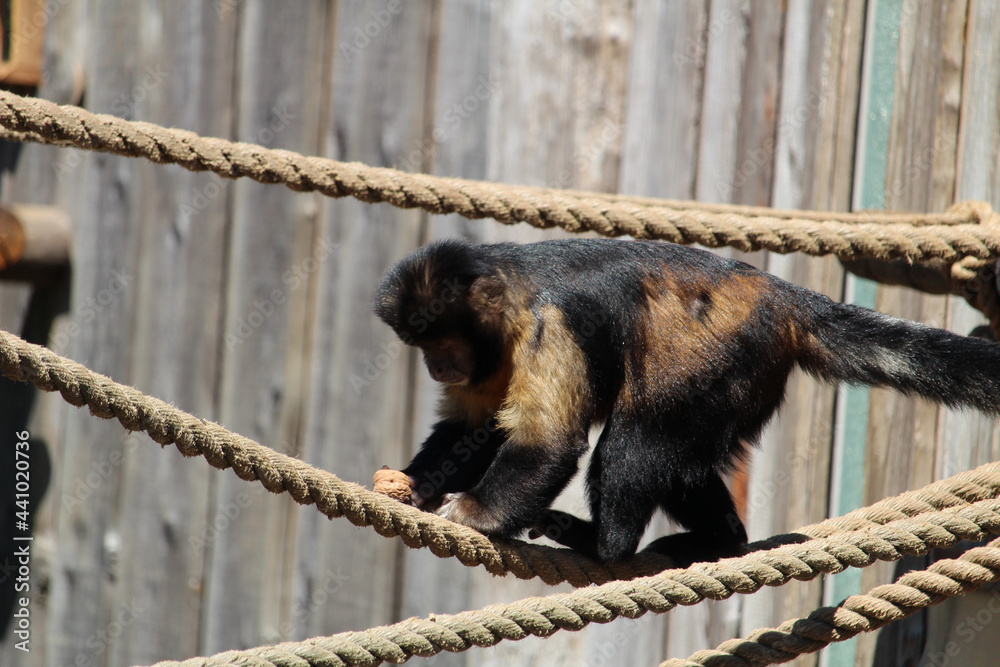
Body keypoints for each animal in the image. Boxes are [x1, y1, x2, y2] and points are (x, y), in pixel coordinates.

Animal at [374, 239, 1000, 564]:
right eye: (422, 345)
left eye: (440, 342)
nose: (435, 365)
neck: (512, 297)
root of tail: (783, 297)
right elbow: (472, 429)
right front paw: (413, 486)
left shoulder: (549, 326)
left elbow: (547, 442)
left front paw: (477, 515)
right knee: (680, 459)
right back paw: (722, 540)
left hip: (725, 351)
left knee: (638, 441)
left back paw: (606, 547)